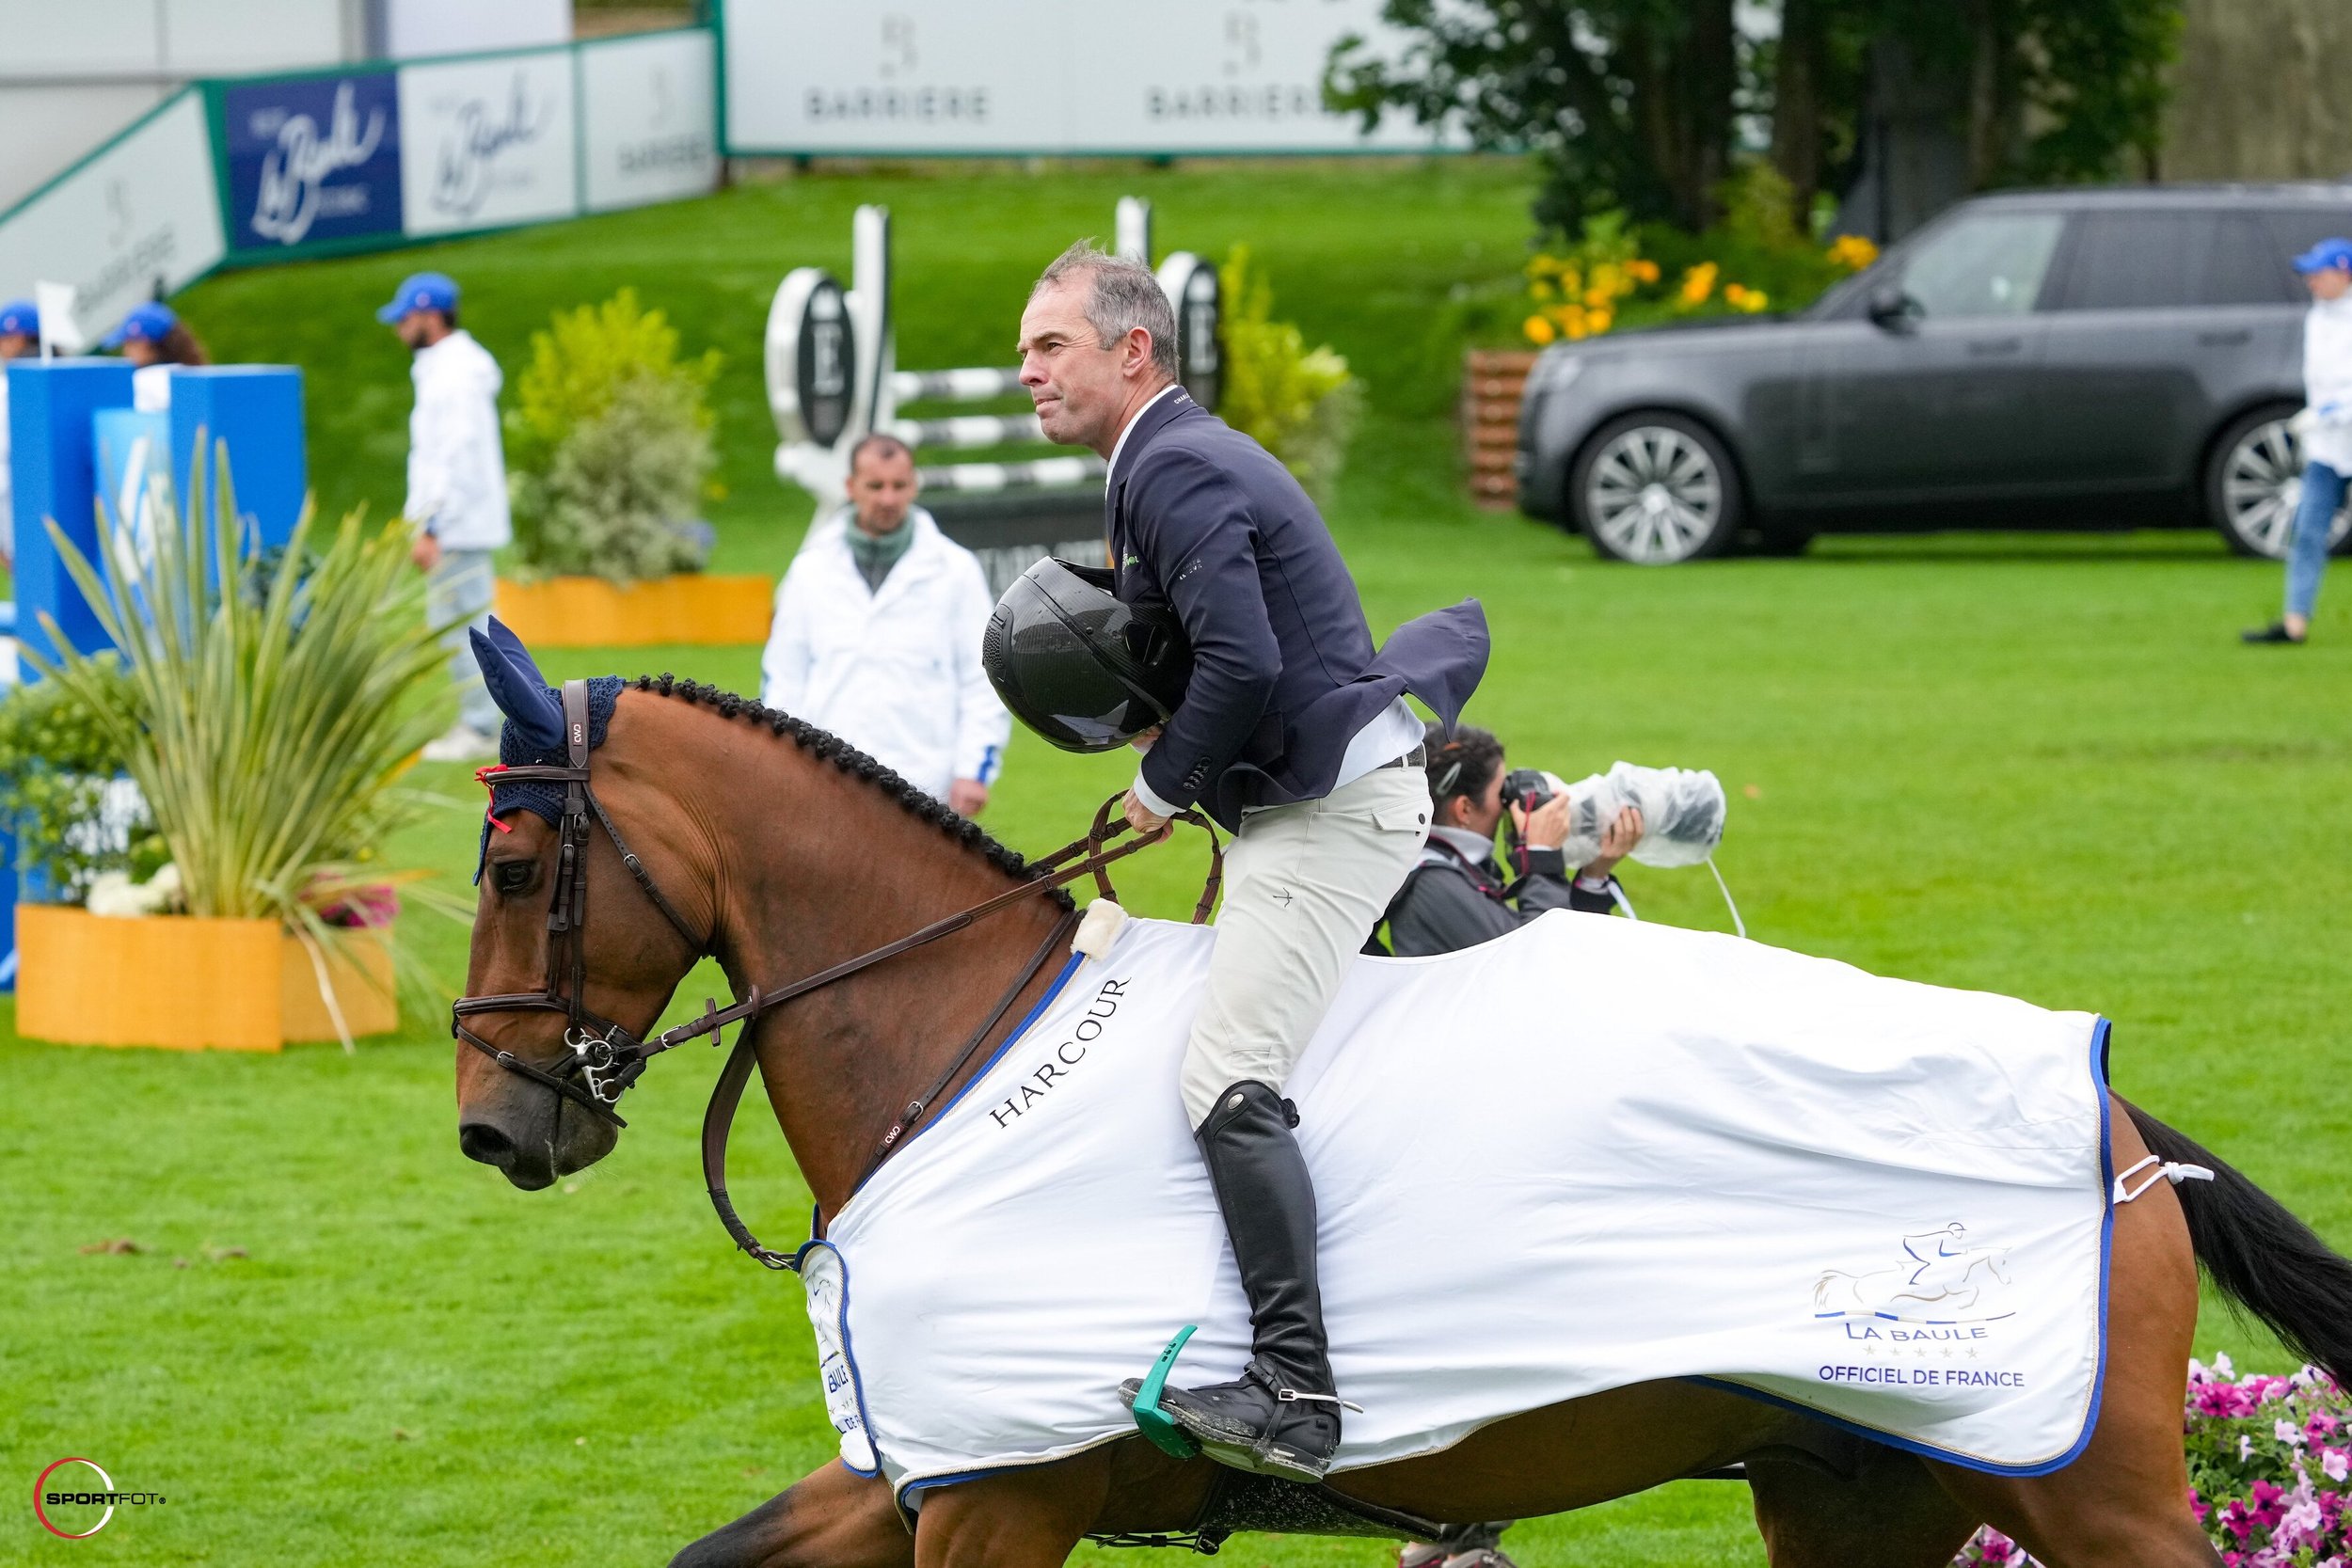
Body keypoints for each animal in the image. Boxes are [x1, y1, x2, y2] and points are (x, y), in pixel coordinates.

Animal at [451, 669, 2352, 1568]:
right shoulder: (927, 1476)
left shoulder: (1001, 1495)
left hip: (2084, 1486)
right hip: (1861, 1493)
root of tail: (2112, 1115)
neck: (954, 1044)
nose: (494, 1127)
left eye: (519, 865)